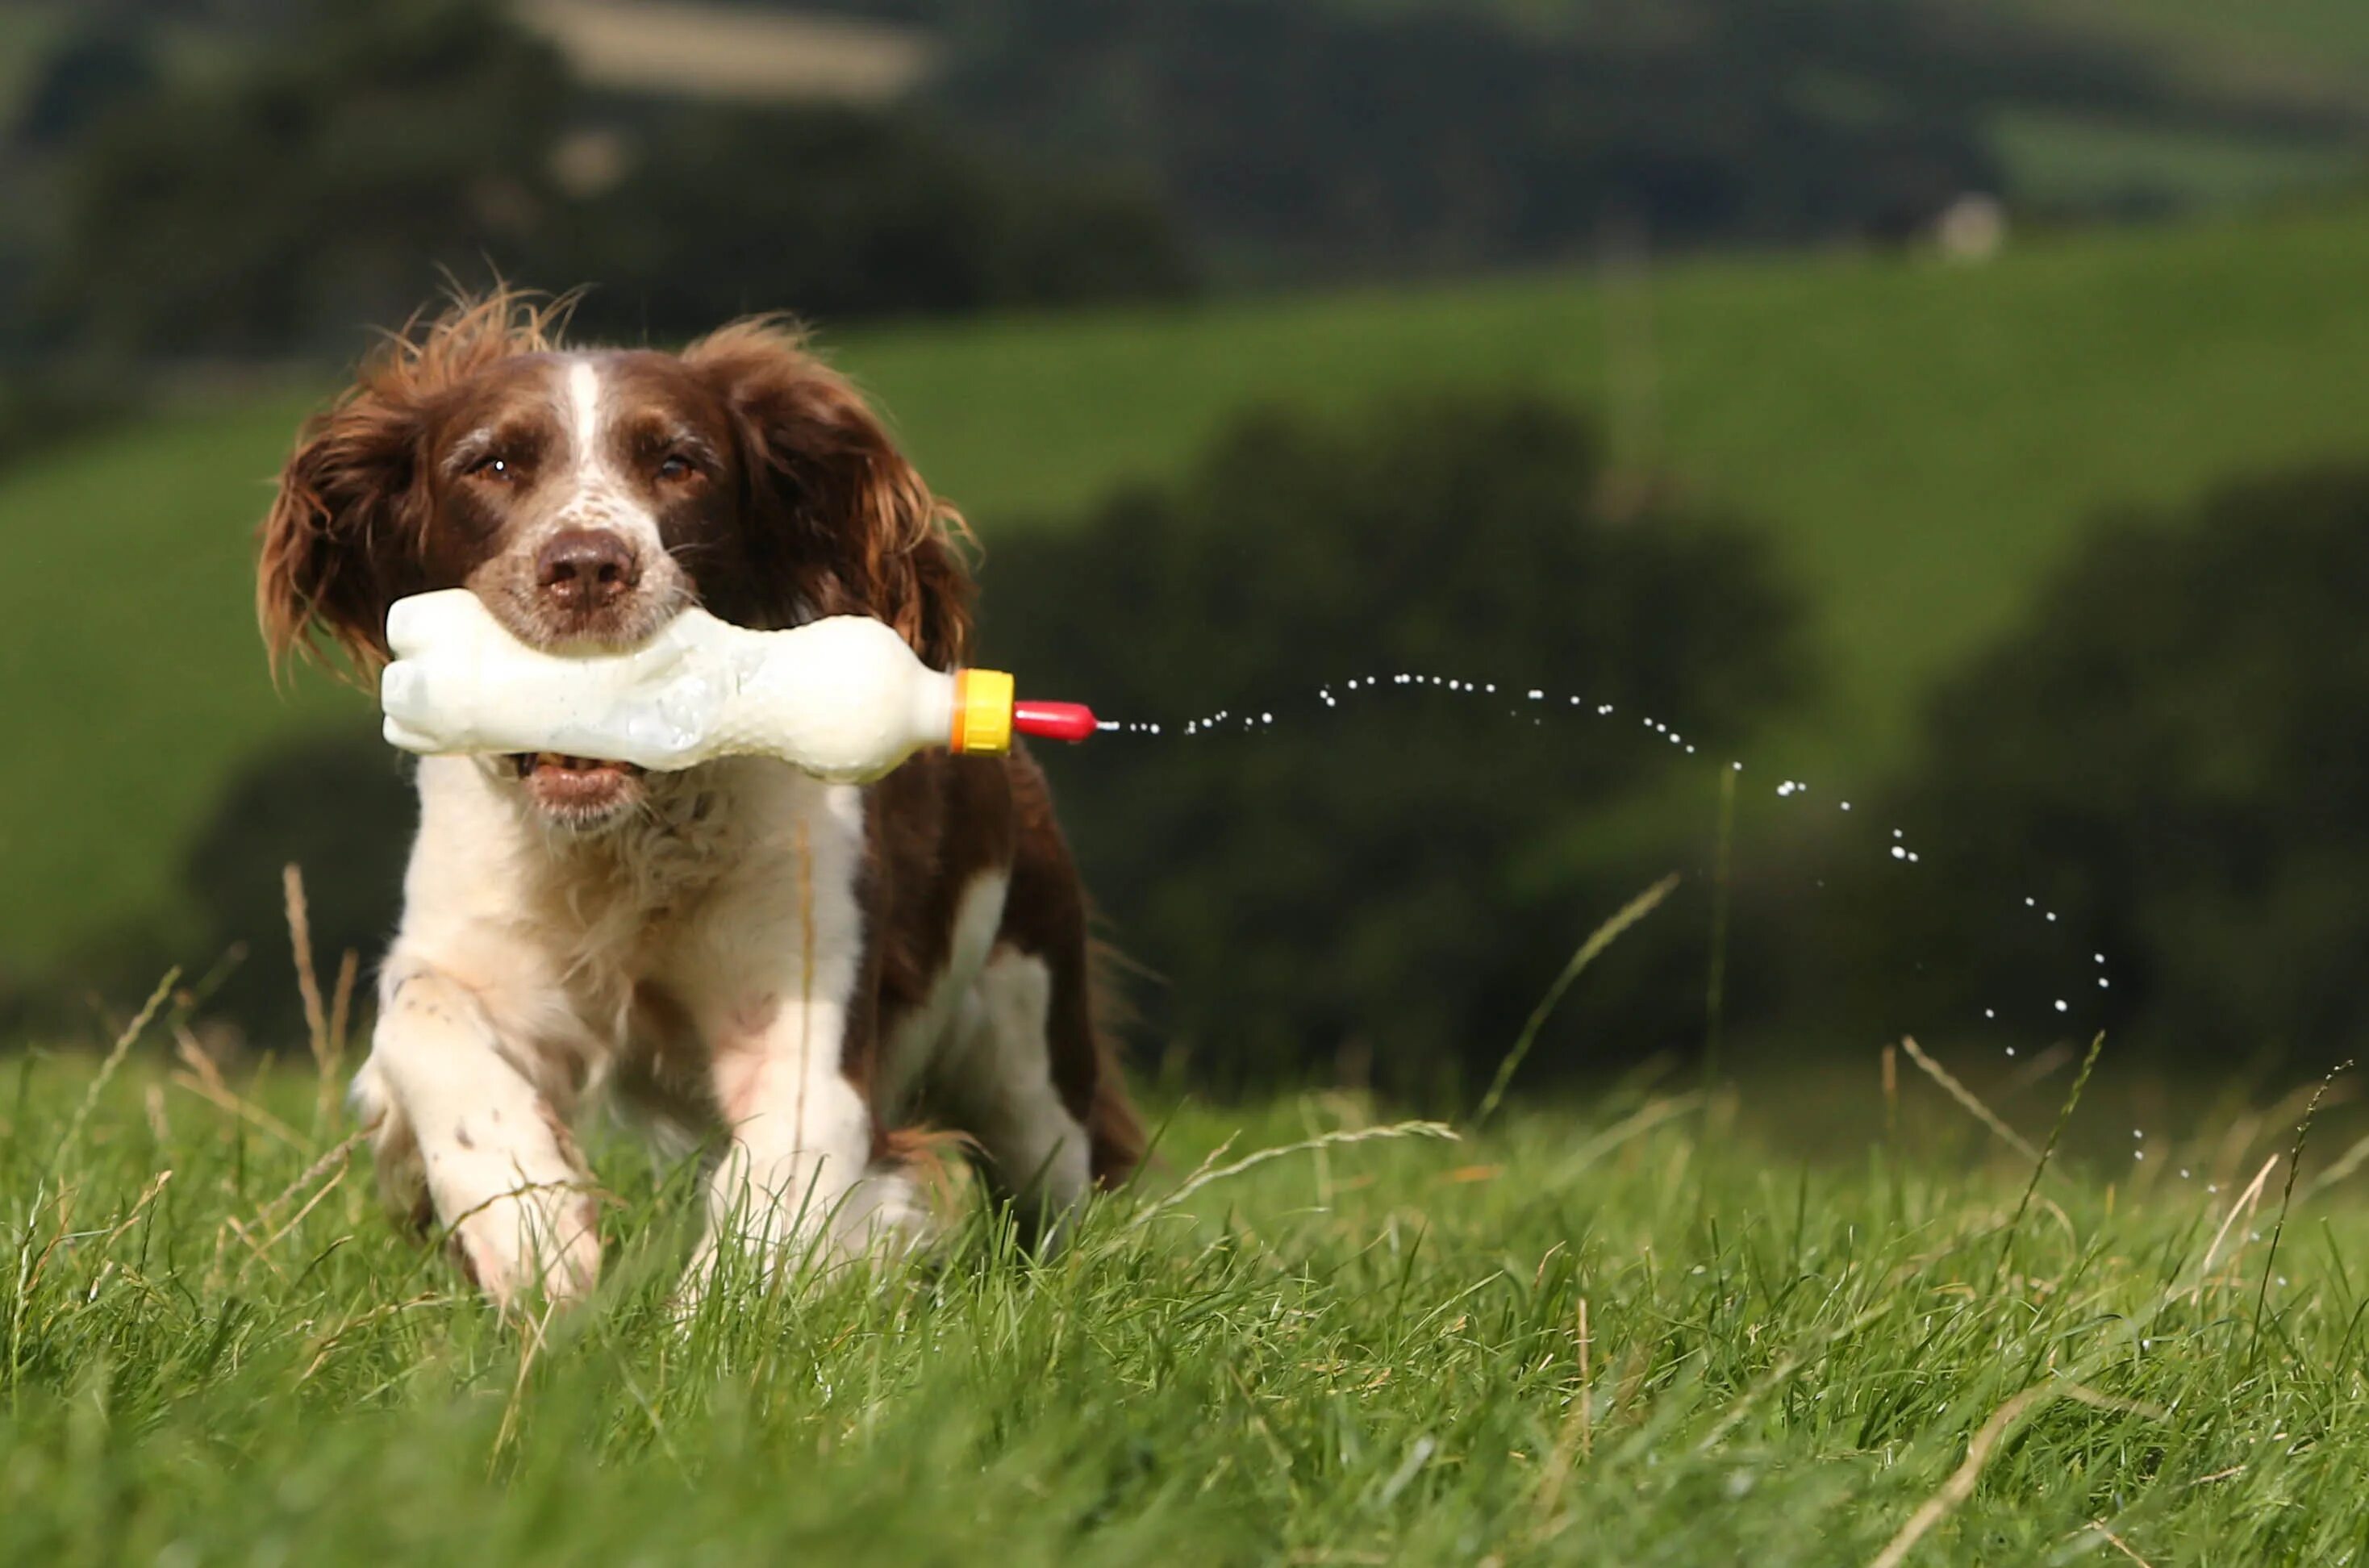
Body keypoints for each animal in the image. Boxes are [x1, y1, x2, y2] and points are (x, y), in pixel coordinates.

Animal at [259, 298, 1137, 1316]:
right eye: (494, 464)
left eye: (680, 464)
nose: (586, 567)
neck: (629, 838)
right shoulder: (469, 940)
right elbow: (424, 1022)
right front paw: (529, 1230)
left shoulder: (804, 1019)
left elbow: (773, 1200)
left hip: (1029, 1036)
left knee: (1061, 1173)